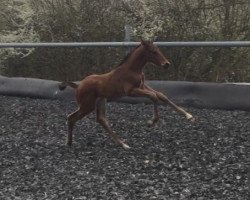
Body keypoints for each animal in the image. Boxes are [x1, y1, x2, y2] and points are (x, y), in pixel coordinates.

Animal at [59, 40, 194, 149]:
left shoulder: (142, 86)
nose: (166, 64)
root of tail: (78, 86)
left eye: (158, 49)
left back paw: (121, 144)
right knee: (72, 118)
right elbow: (153, 96)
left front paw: (188, 116)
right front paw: (151, 122)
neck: (132, 70)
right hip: (87, 105)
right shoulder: (131, 91)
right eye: (153, 51)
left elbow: (161, 95)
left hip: (101, 101)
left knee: (101, 120)